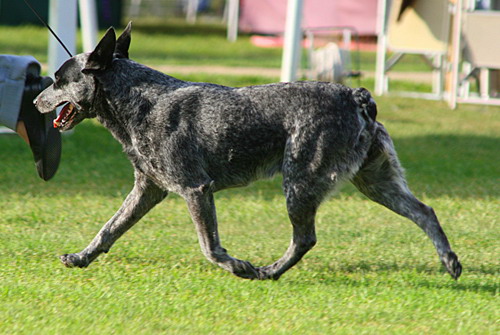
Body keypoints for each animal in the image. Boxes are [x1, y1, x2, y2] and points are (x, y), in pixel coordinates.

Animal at [34, 23, 460, 280]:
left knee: (305, 239)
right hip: (374, 181)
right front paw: (81, 257)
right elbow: (110, 228)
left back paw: (269, 271)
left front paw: (237, 266)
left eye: (58, 80)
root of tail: (357, 96)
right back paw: (450, 262)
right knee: (425, 212)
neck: (139, 100)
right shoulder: (147, 189)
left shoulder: (195, 189)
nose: (37, 100)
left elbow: (210, 246)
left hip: (300, 183)